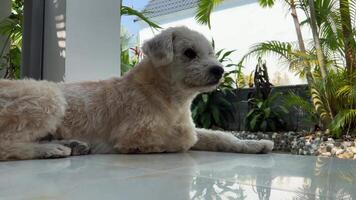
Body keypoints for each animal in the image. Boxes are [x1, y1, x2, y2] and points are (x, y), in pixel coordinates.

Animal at [0, 27, 274, 161]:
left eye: (211, 53)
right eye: (189, 53)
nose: (219, 71)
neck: (163, 94)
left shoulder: (188, 125)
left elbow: (220, 136)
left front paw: (254, 144)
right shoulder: (135, 136)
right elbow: (184, 141)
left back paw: (70, 145)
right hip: (47, 99)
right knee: (5, 145)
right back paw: (50, 150)